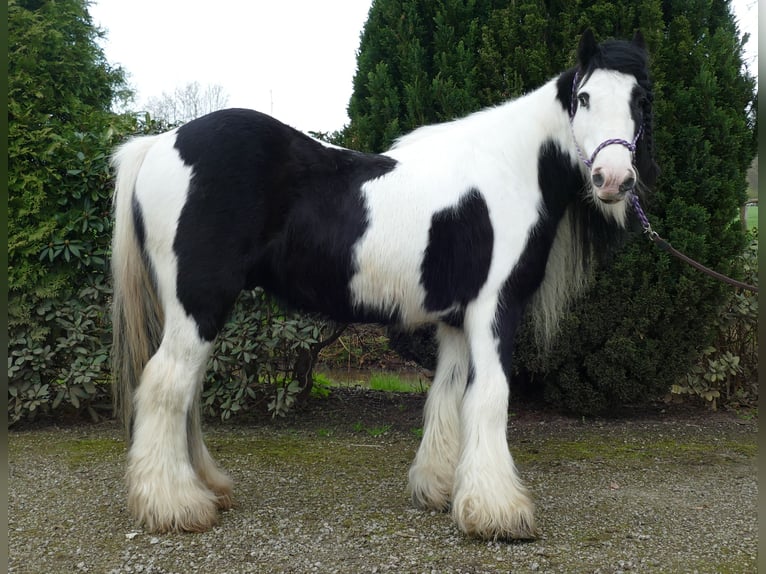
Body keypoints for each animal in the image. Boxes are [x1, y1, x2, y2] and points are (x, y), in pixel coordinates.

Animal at [109, 30, 660, 544]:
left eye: (641, 100)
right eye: (584, 98)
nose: (613, 179)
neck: (508, 169)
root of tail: (159, 144)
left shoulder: (457, 317)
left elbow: (448, 394)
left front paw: (440, 488)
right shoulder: (494, 308)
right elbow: (490, 396)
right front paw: (498, 511)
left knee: (186, 391)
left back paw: (207, 488)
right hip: (200, 304)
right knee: (165, 385)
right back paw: (175, 504)